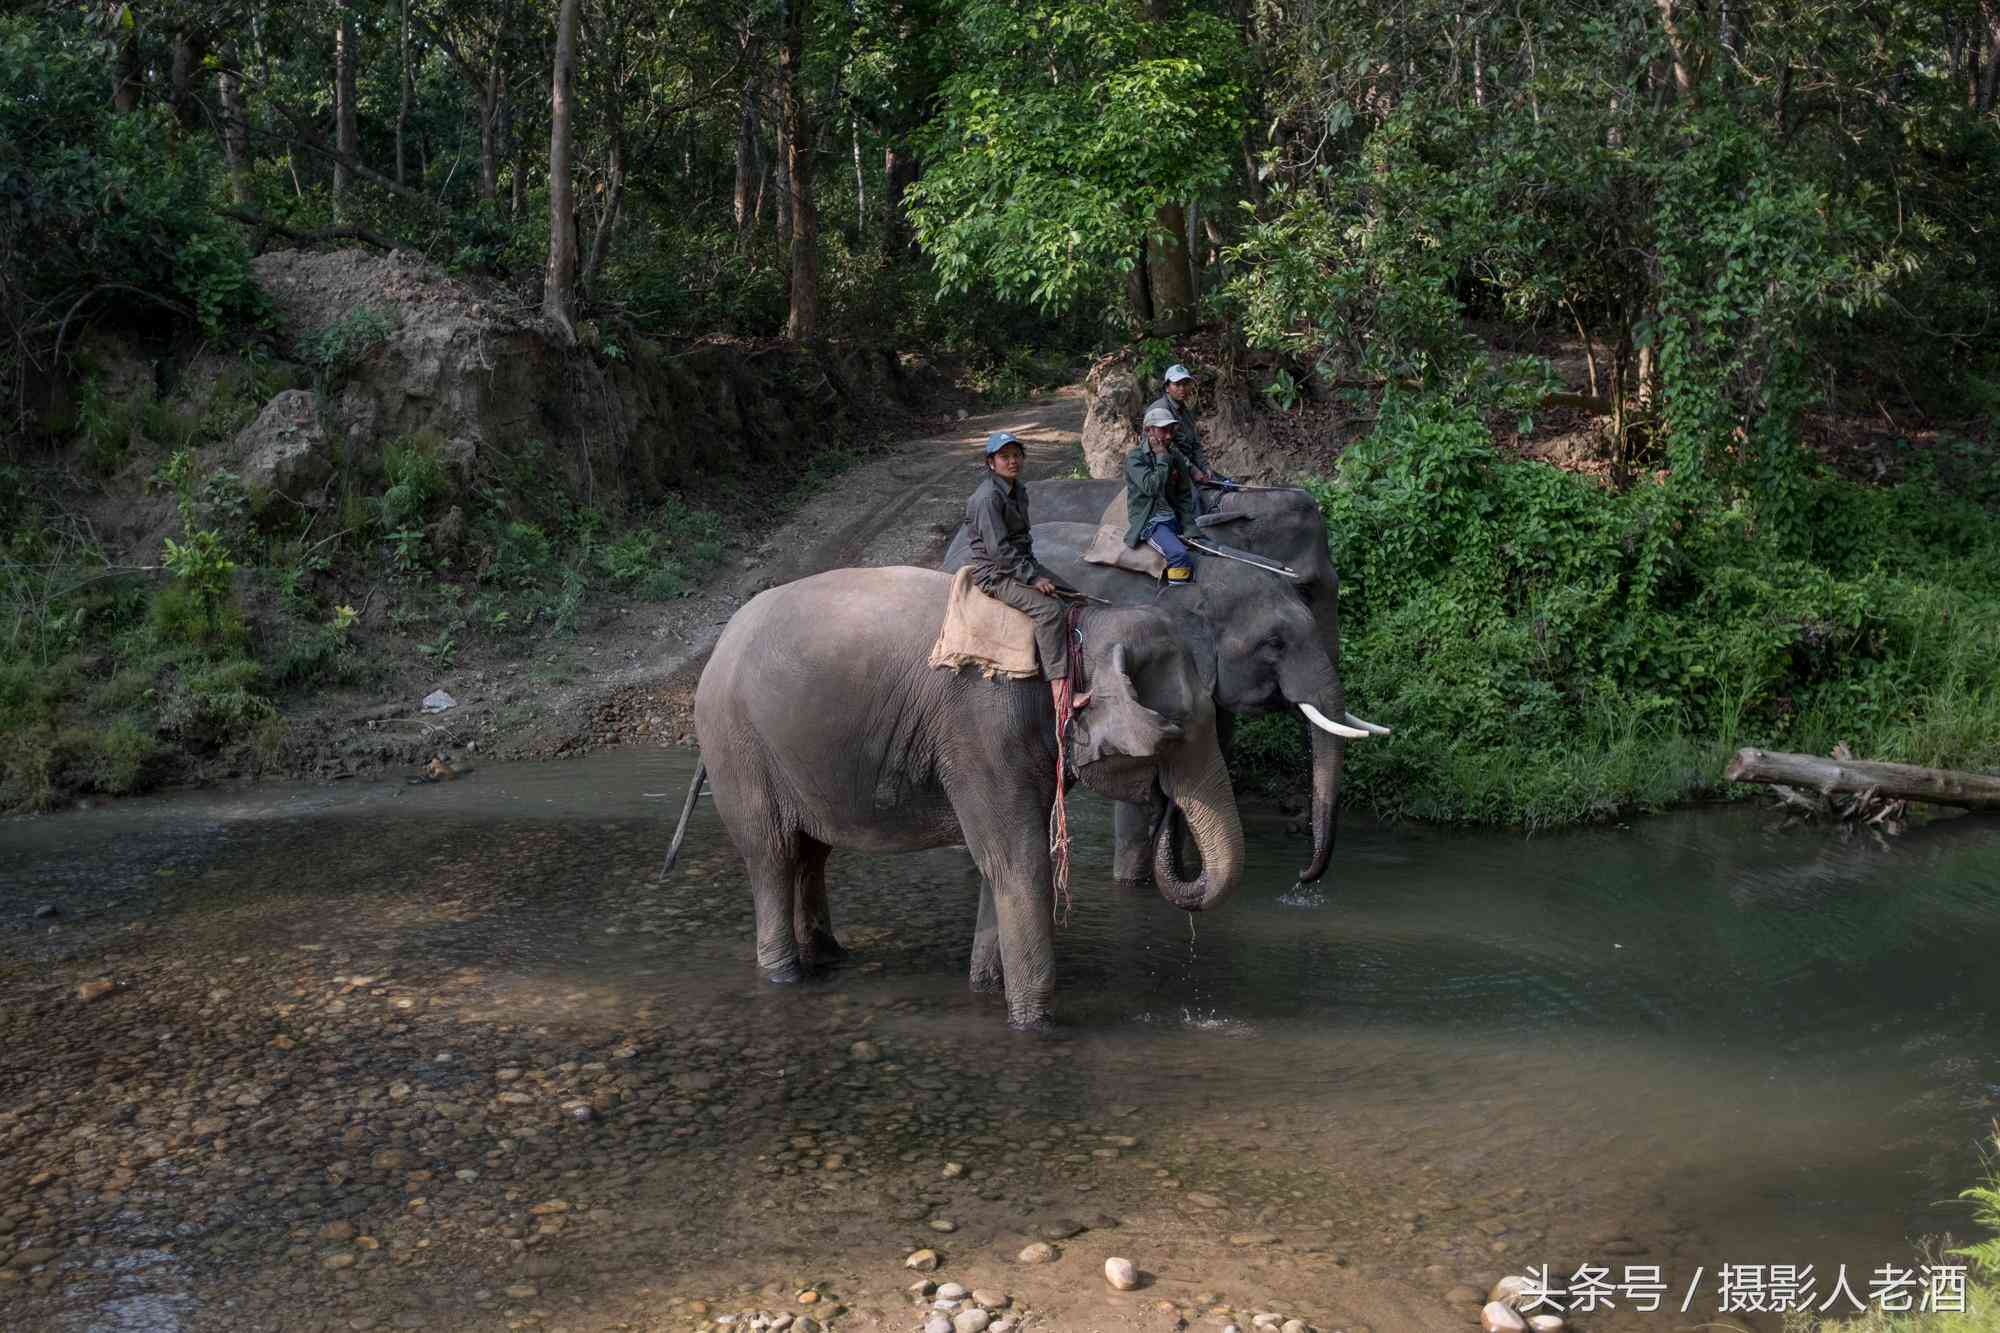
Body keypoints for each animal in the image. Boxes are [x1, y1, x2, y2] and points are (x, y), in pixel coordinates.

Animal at [664, 560, 1240, 1024]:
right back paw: (787, 975)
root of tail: (717, 651)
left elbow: (999, 862)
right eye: (1175, 733)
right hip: (739, 748)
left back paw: (829, 959)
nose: (1165, 804)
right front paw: (1032, 1024)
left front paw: (985, 989)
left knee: (810, 854)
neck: (1080, 625)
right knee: (773, 855)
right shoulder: (984, 730)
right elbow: (1018, 860)